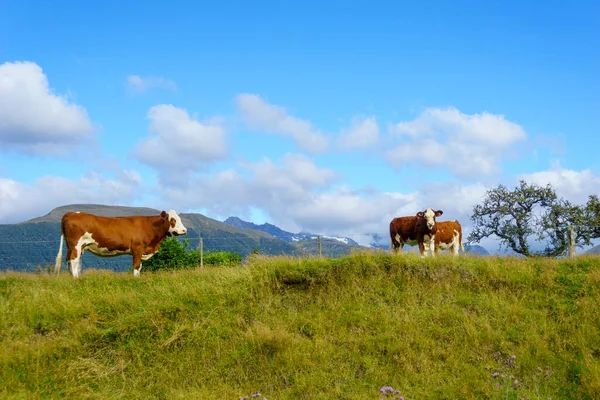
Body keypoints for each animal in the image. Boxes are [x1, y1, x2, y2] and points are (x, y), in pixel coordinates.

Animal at [56, 209, 189, 278]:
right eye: (172, 220)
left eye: (180, 219)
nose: (184, 230)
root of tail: (71, 213)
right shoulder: (137, 248)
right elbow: (136, 266)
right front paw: (136, 280)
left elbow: (139, 266)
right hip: (76, 245)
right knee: (74, 260)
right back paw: (76, 279)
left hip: (71, 246)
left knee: (69, 261)